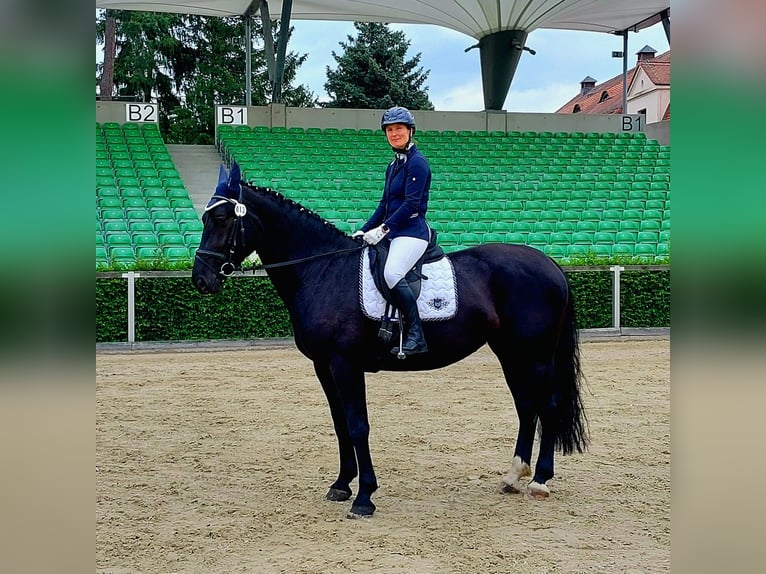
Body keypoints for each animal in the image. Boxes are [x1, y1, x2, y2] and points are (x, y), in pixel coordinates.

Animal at [195, 163, 592, 520]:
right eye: (205, 219)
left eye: (222, 220)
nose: (201, 279)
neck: (323, 271)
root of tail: (550, 264)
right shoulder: (324, 366)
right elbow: (340, 424)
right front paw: (341, 485)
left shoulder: (345, 363)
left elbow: (358, 425)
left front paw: (364, 498)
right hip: (511, 353)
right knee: (527, 407)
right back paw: (513, 476)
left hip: (534, 355)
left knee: (548, 407)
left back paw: (540, 480)